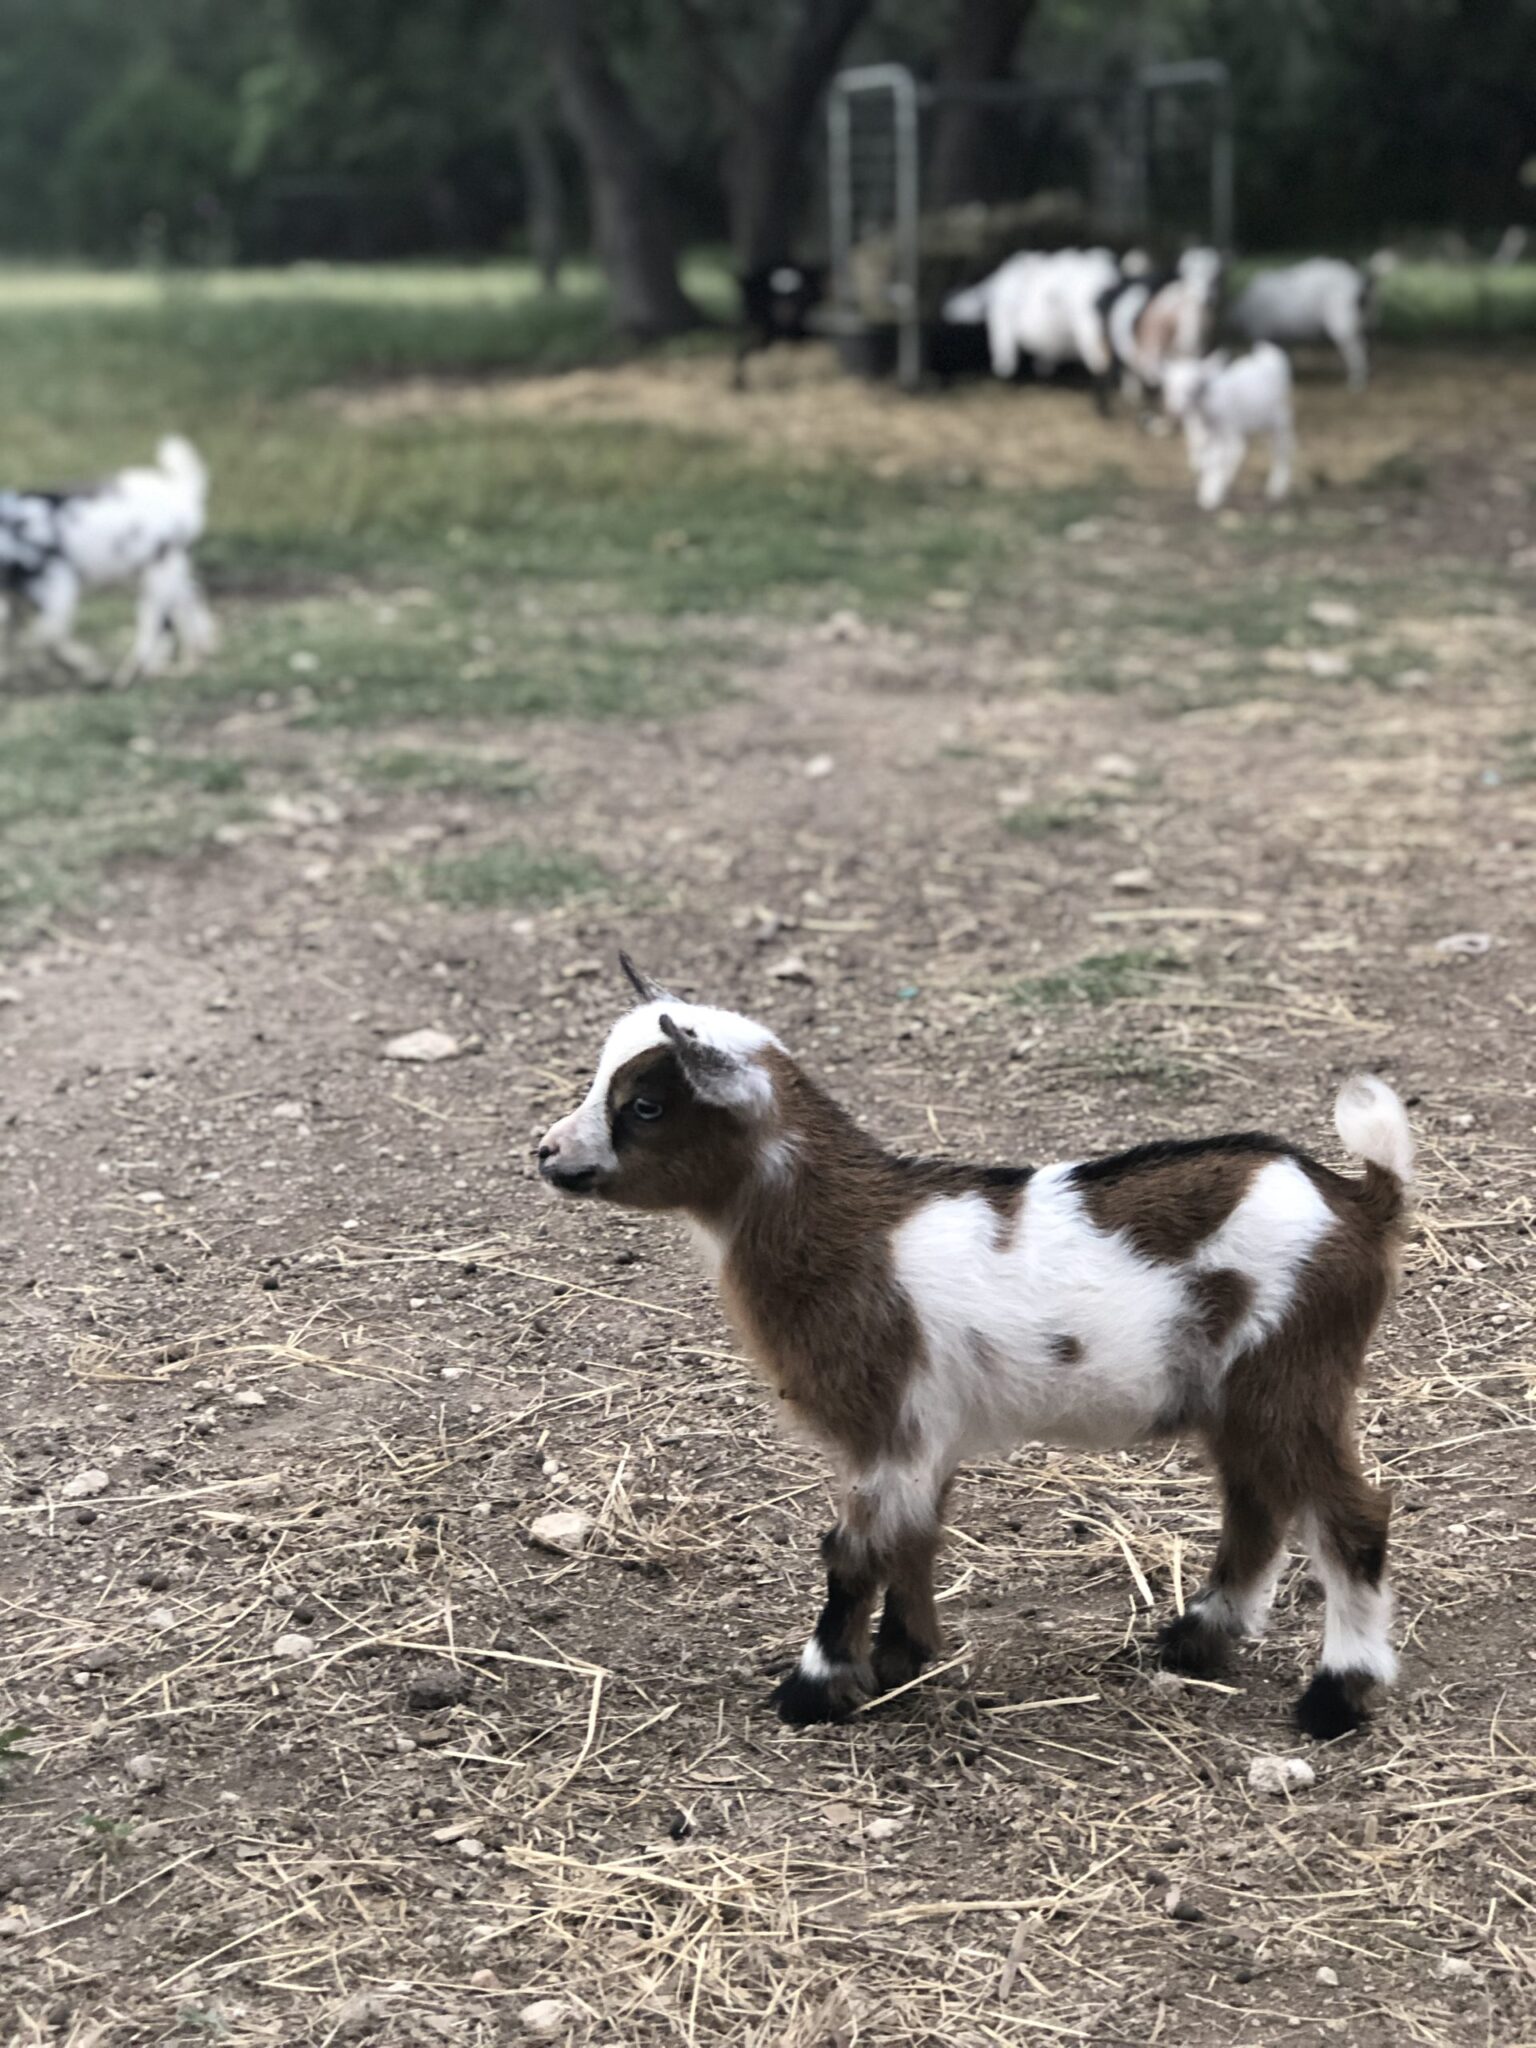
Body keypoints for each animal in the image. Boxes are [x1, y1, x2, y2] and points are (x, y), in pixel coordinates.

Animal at [0, 436, 214, 684]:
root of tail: (181, 493)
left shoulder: (58, 586)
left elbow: (47, 637)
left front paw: (87, 667)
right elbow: (29, 637)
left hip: (159, 572)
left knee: (156, 622)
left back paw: (135, 674)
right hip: (150, 574)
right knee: (188, 595)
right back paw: (193, 657)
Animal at [538, 956, 1412, 1741]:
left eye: (645, 1105)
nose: (546, 1153)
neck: (853, 1233)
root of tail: (1361, 1198)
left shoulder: (884, 1419)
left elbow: (851, 1551)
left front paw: (815, 1689)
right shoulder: (924, 1430)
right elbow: (915, 1534)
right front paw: (902, 1659)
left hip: (1294, 1374)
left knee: (1349, 1517)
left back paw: (1335, 1697)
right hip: (1244, 1395)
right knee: (1257, 1501)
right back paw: (1195, 1642)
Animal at [1161, 344, 1296, 512]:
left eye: (1194, 387)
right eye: (1169, 386)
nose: (1173, 411)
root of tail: (1270, 362)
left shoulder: (1225, 430)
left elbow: (1218, 460)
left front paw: (1211, 494)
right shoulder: (1202, 434)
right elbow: (1204, 457)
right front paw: (1205, 480)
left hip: (1277, 420)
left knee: (1282, 449)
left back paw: (1276, 487)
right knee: (1247, 449)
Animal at [1228, 254, 1396, 391]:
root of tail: (1362, 282)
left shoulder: (1261, 332)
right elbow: (1286, 355)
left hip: (1344, 323)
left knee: (1357, 350)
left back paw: (1356, 383)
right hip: (1371, 322)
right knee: (1370, 347)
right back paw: (1368, 376)